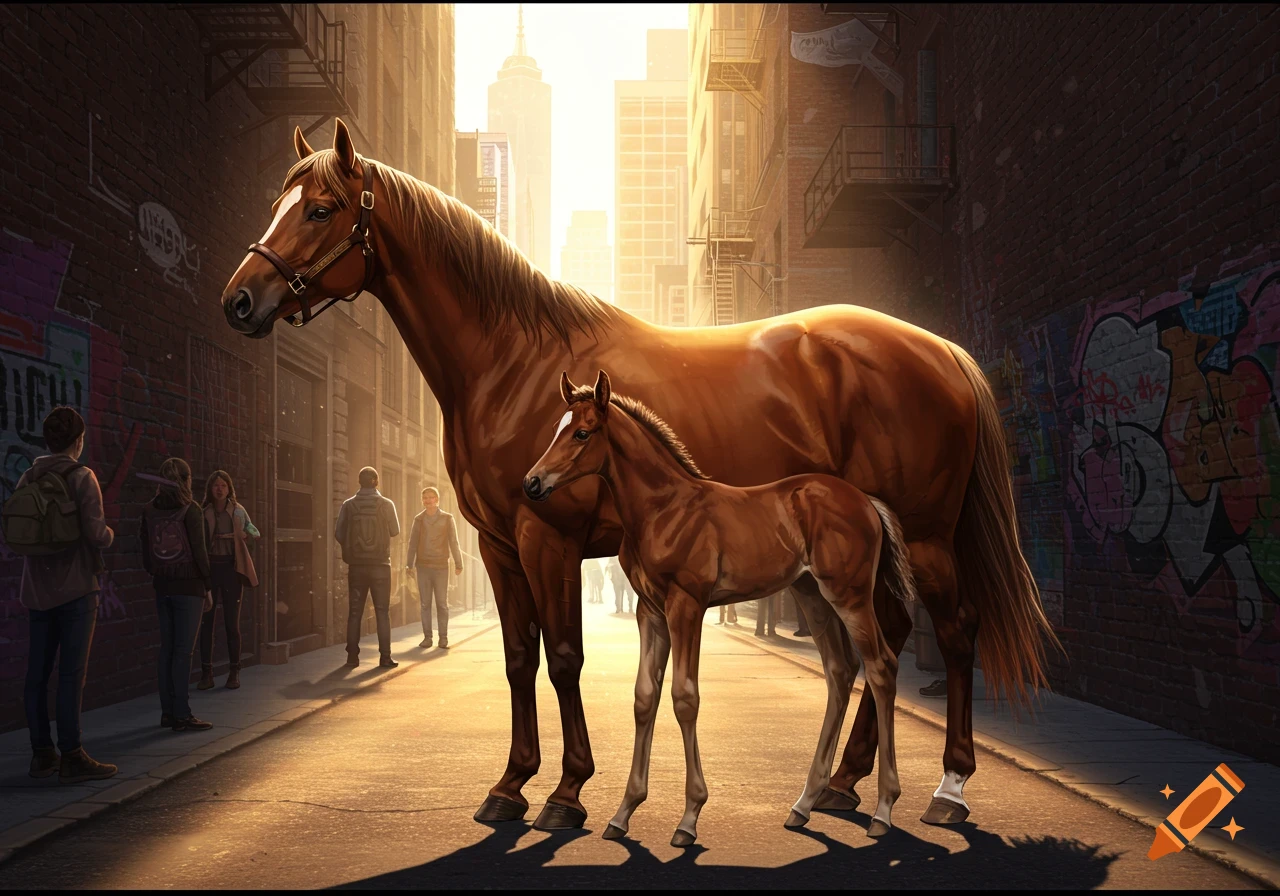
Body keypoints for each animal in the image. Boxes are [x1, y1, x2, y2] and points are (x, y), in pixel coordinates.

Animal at [524, 370, 918, 846]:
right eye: (555, 430)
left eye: (582, 432)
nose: (532, 483)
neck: (662, 509)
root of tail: (866, 501)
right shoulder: (649, 612)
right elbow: (644, 697)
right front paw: (622, 814)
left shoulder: (686, 605)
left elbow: (684, 697)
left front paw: (689, 818)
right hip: (812, 594)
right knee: (841, 672)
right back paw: (803, 805)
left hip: (850, 595)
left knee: (880, 667)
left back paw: (883, 810)